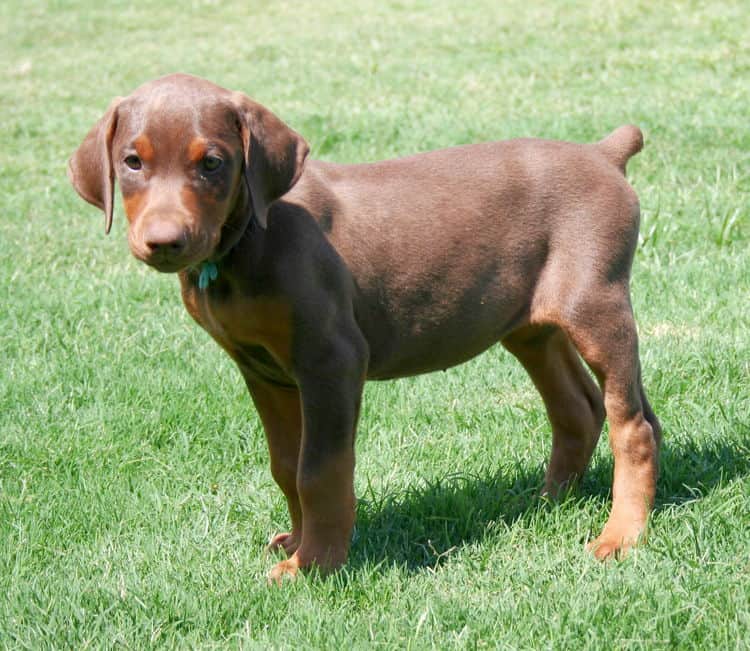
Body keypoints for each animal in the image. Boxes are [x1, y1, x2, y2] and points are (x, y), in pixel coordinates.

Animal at [67, 74, 660, 584]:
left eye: (212, 162)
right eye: (132, 162)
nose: (164, 242)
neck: (246, 243)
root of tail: (602, 154)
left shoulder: (331, 361)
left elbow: (319, 469)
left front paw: (314, 564)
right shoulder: (263, 371)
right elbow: (286, 465)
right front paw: (299, 541)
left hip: (596, 305)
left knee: (632, 424)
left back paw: (620, 536)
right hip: (529, 325)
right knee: (577, 407)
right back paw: (547, 502)